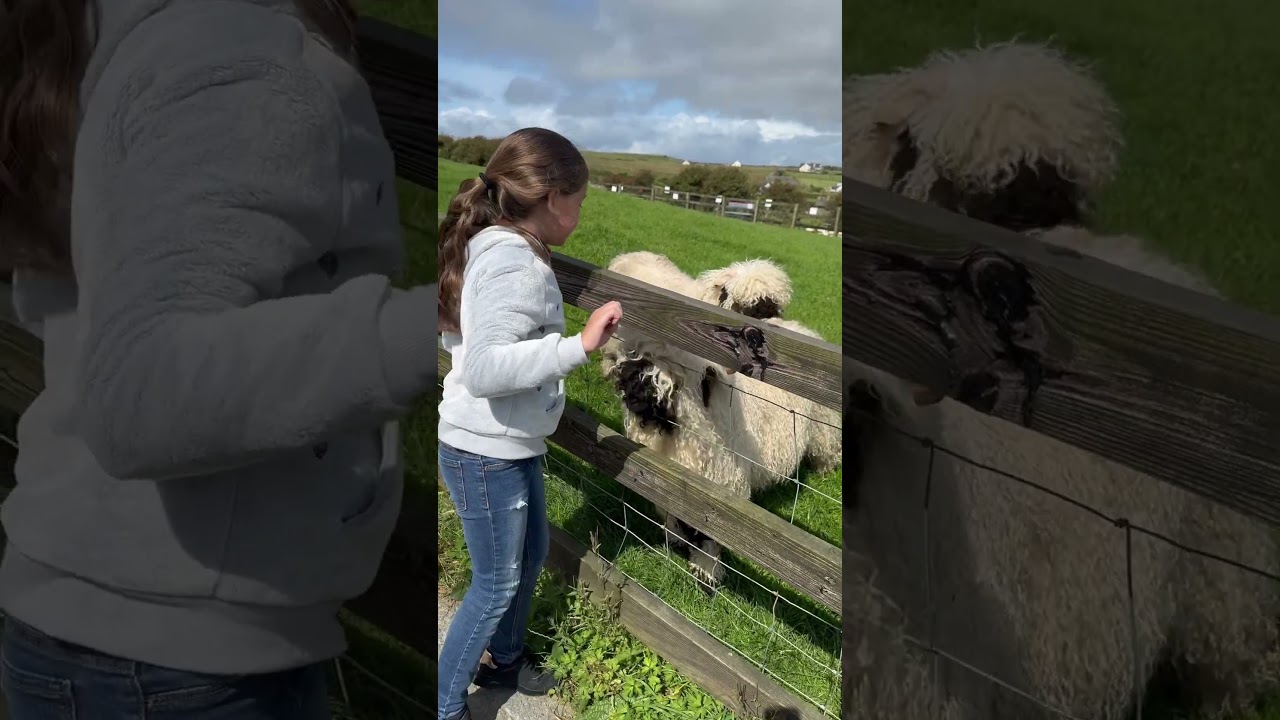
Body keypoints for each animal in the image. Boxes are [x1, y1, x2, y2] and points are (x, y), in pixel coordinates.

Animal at [600, 252, 840, 588]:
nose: (634, 398)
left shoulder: (721, 482)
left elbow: (710, 530)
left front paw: (706, 571)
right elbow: (673, 511)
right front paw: (676, 540)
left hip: (823, 429)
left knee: (827, 451)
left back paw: (825, 472)